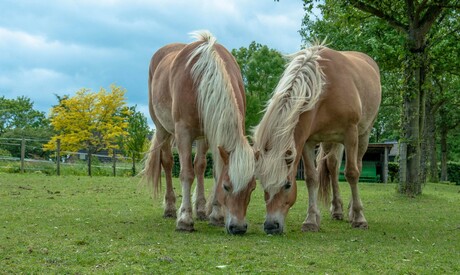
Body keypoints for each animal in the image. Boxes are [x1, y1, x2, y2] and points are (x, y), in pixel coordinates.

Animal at [145, 31, 255, 235]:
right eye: (227, 187)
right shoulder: (183, 133)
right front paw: (185, 219)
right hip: (162, 129)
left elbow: (211, 170)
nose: (238, 227)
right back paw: (170, 208)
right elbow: (186, 174)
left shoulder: (211, 132)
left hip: (202, 138)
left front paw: (216, 215)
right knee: (167, 162)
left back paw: (202, 209)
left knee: (200, 166)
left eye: (252, 188)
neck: (202, 77)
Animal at [253, 45, 380, 235]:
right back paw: (337, 209)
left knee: (357, 165)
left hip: (362, 134)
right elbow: (311, 178)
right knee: (333, 166)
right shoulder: (308, 141)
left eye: (287, 185)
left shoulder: (350, 134)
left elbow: (351, 173)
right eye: (263, 185)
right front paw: (311, 220)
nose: (270, 226)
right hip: (331, 141)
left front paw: (359, 218)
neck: (326, 89)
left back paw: (352, 210)